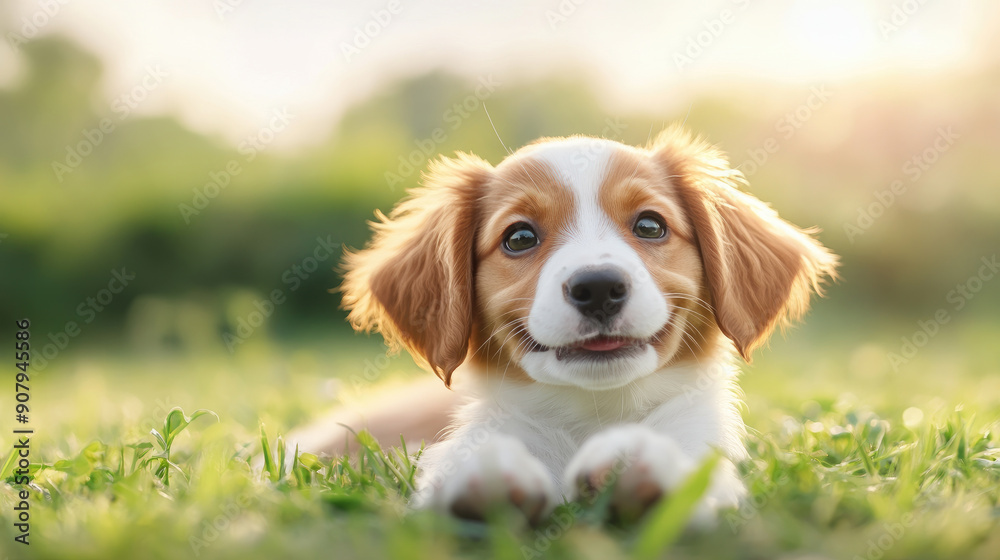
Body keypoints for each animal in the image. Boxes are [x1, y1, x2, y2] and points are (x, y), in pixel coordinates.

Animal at [338, 128, 836, 524]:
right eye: (519, 237)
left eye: (650, 225)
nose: (598, 287)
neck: (596, 413)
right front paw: (483, 470)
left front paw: (643, 460)